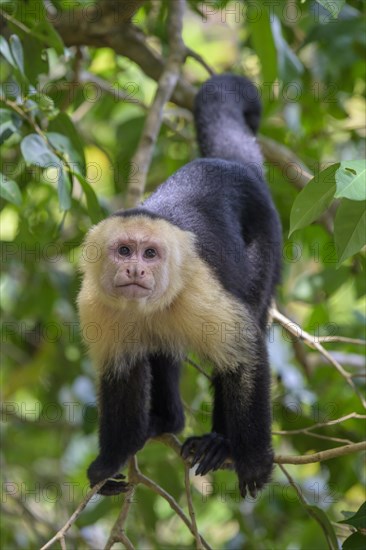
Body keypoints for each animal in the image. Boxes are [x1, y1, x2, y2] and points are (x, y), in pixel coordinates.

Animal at [78, 74, 282, 500]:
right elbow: (122, 374)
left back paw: (221, 442)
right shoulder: (94, 305)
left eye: (150, 254)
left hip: (266, 235)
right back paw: (165, 421)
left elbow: (244, 354)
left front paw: (254, 463)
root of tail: (231, 165)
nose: (136, 270)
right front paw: (110, 461)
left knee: (247, 318)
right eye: (125, 251)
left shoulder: (197, 289)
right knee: (158, 348)